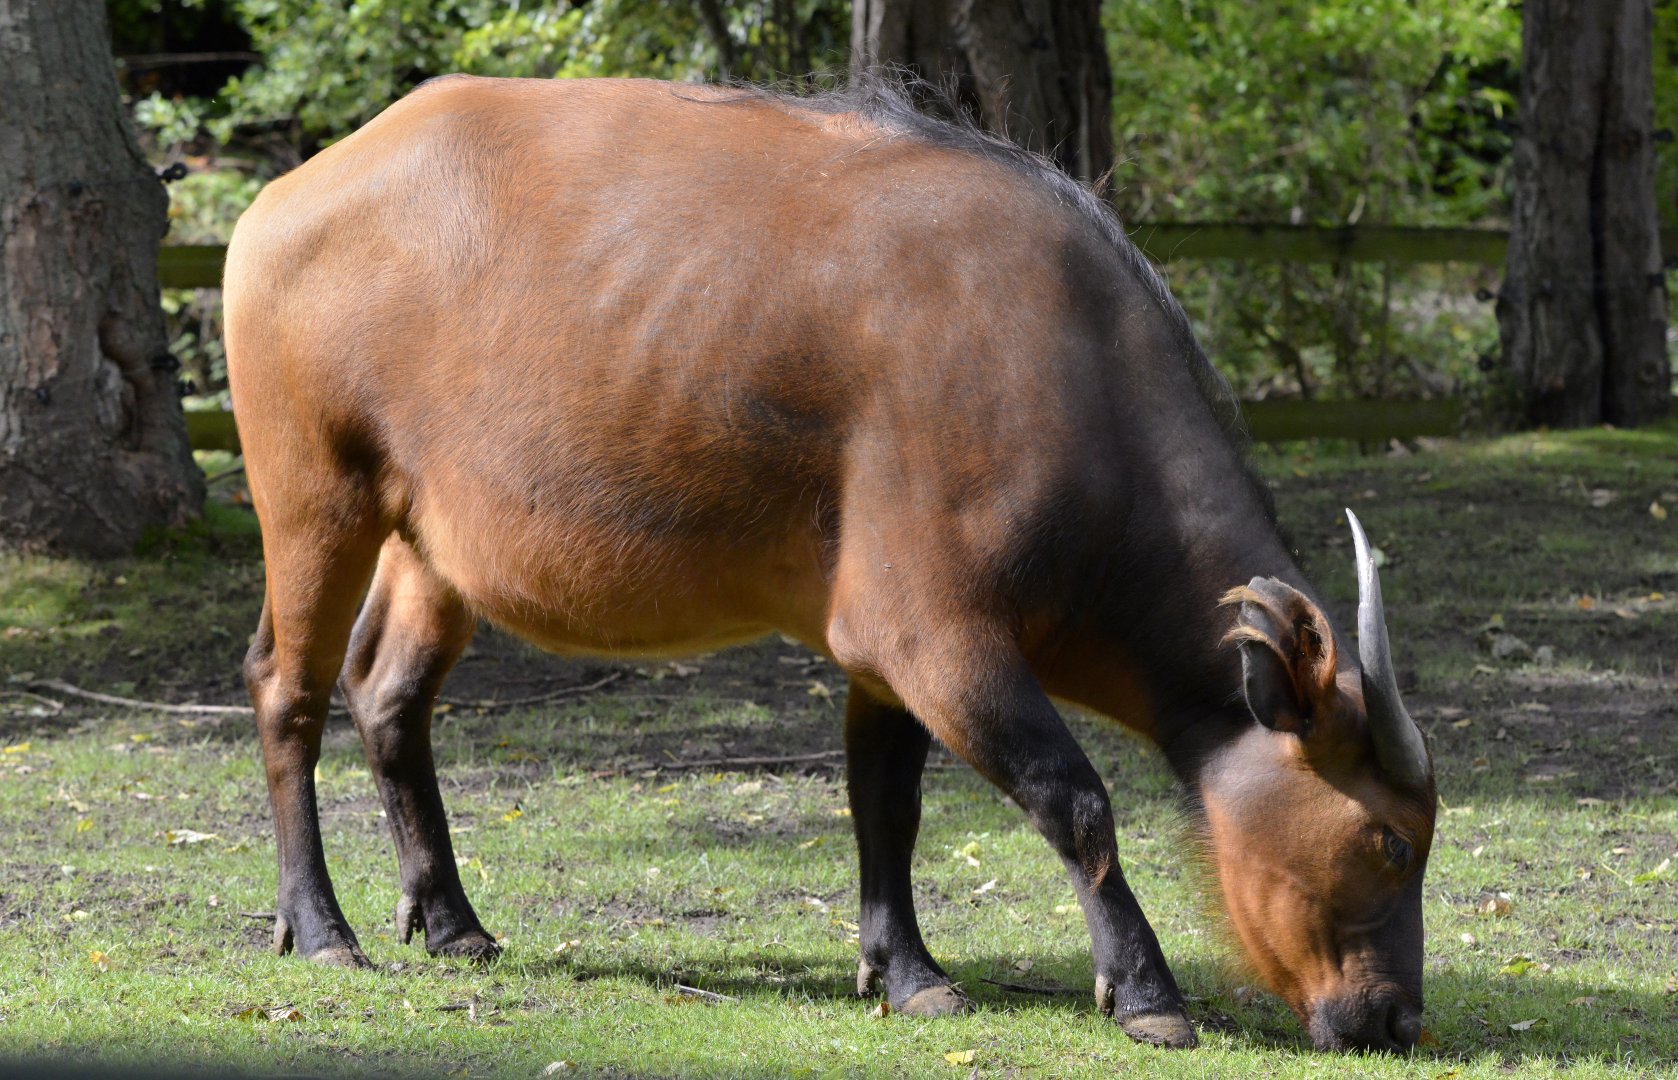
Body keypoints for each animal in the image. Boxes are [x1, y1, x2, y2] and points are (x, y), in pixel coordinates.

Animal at [223, 75, 1435, 1052]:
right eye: (1388, 839)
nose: (1395, 1020)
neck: (1068, 377)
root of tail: (287, 197)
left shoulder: (881, 654)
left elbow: (883, 806)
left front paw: (905, 972)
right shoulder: (937, 637)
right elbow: (1075, 801)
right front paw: (1144, 993)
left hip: (432, 545)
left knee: (388, 696)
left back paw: (451, 921)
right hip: (314, 497)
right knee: (288, 689)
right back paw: (321, 928)